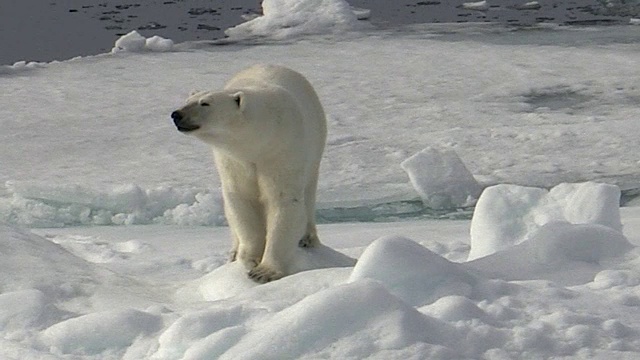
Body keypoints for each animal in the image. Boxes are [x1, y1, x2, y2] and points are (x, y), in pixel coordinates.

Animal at [171, 65, 324, 284]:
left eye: (205, 103)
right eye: (187, 100)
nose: (176, 114)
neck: (258, 140)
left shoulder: (282, 150)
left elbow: (283, 202)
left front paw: (264, 272)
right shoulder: (232, 161)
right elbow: (242, 204)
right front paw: (250, 259)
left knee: (309, 193)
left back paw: (307, 238)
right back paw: (234, 252)